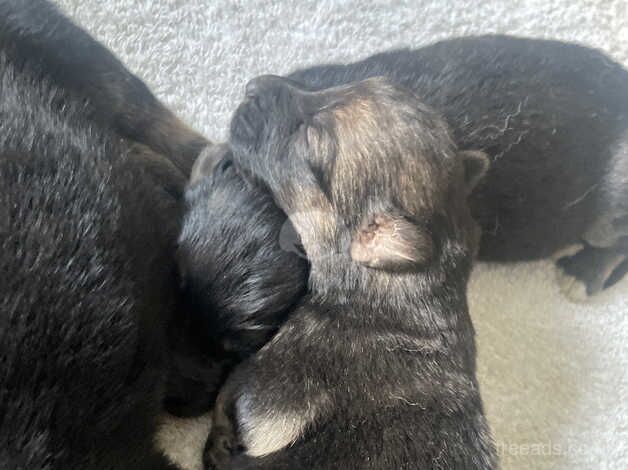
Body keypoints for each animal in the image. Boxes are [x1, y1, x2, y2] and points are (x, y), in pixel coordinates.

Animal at [204, 75, 498, 468]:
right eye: (371, 80)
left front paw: (219, 443)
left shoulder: (265, 378)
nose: (254, 86)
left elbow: (228, 395)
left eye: (310, 138)